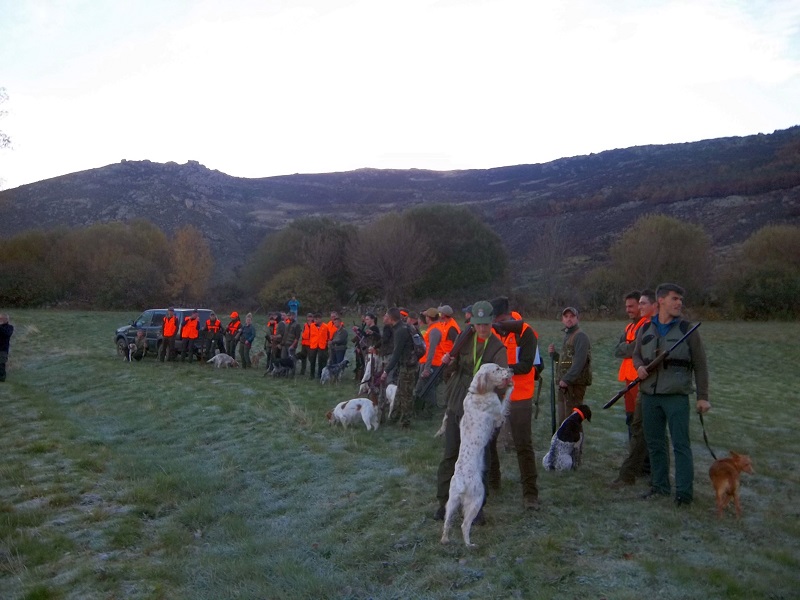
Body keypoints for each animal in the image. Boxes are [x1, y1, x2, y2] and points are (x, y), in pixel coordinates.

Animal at [438, 360, 512, 548]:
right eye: (497, 369)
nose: (511, 370)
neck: (477, 393)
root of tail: (461, 482)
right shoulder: (498, 414)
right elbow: (506, 399)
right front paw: (510, 385)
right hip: (477, 498)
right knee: (464, 525)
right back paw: (470, 545)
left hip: (451, 502)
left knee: (447, 522)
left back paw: (446, 540)